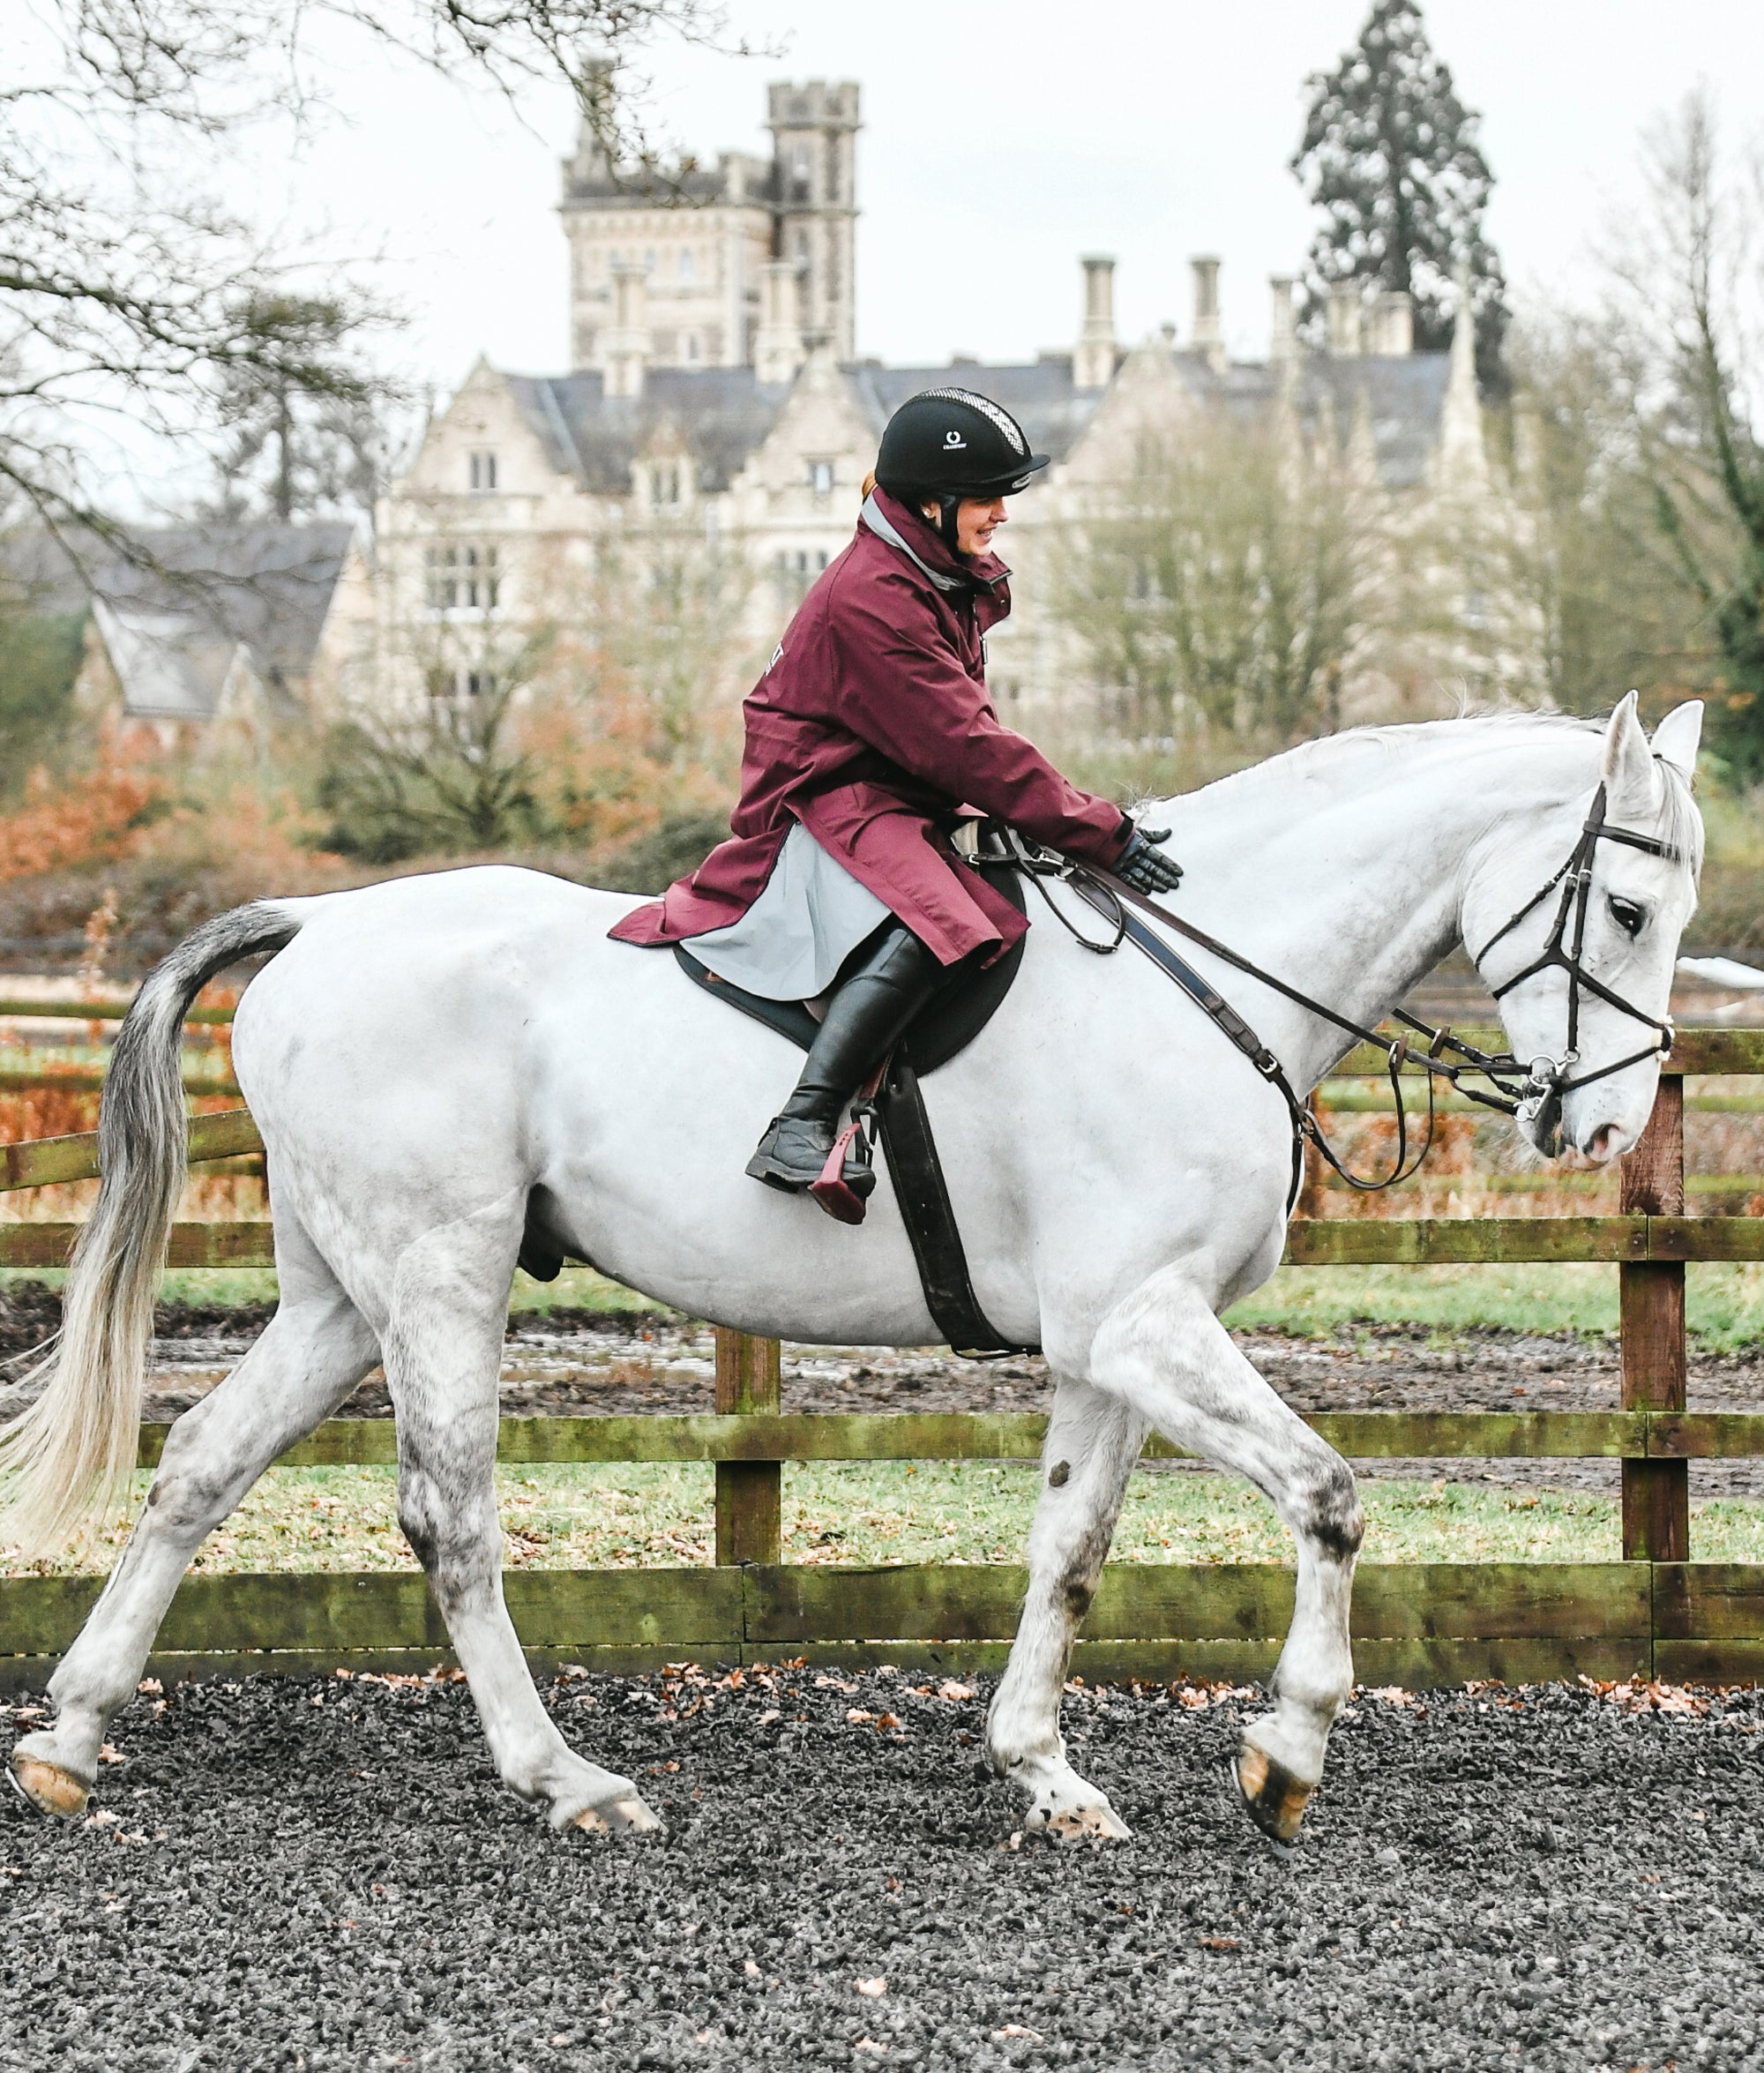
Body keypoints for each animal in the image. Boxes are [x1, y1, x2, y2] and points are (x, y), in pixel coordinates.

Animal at [3, 700, 1708, 1849]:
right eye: (1625, 906)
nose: (1606, 1124)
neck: (1207, 978)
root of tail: (318, 924)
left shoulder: (1110, 1343)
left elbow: (1070, 1552)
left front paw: (1043, 1772)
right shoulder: (1142, 1320)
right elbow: (1330, 1494)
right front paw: (1285, 1754)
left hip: (337, 1293)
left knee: (200, 1466)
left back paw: (73, 1735)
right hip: (438, 1276)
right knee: (452, 1518)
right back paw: (567, 1781)